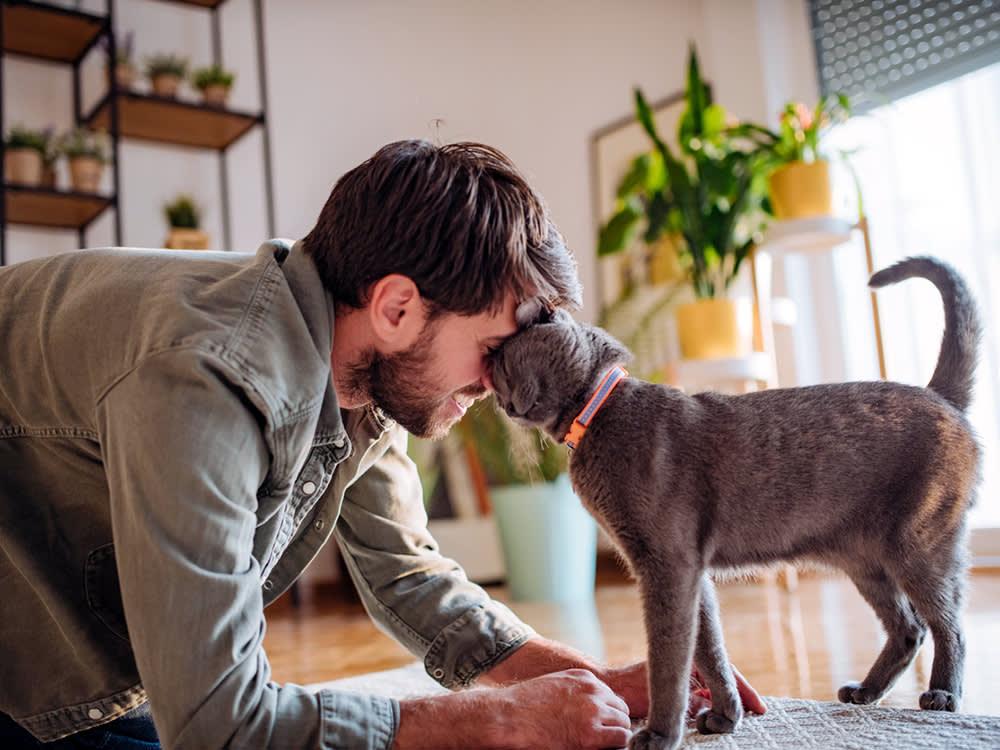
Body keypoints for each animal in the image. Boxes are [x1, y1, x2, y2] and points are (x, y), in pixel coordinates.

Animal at [488, 258, 980, 750]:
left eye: (503, 367)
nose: (503, 405)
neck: (598, 414)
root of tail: (938, 395)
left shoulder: (668, 565)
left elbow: (669, 657)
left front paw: (660, 733)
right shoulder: (691, 571)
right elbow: (709, 648)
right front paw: (727, 716)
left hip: (918, 544)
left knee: (948, 623)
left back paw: (942, 695)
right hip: (863, 560)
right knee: (909, 629)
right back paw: (866, 691)